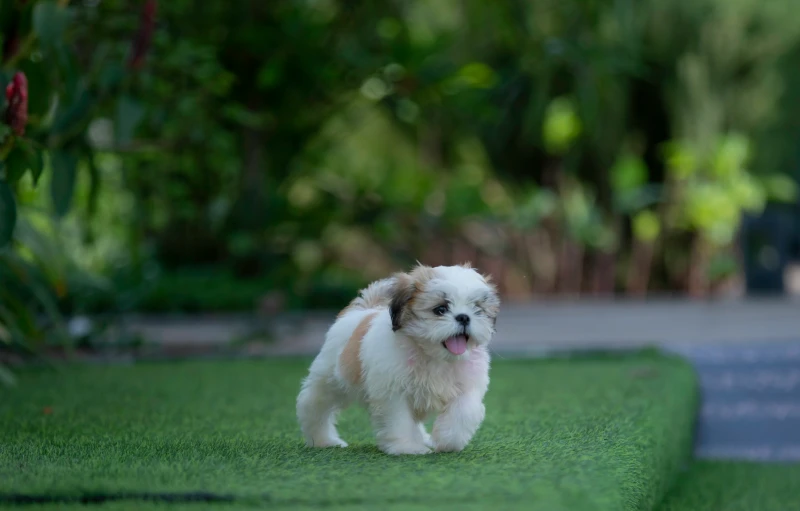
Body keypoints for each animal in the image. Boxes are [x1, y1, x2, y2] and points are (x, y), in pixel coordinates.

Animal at [296, 264, 496, 456]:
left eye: (477, 309)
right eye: (440, 309)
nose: (464, 317)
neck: (434, 356)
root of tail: (362, 310)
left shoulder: (468, 386)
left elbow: (464, 411)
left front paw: (447, 441)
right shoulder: (393, 393)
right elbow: (400, 421)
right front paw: (407, 448)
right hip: (330, 379)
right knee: (314, 405)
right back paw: (323, 440)